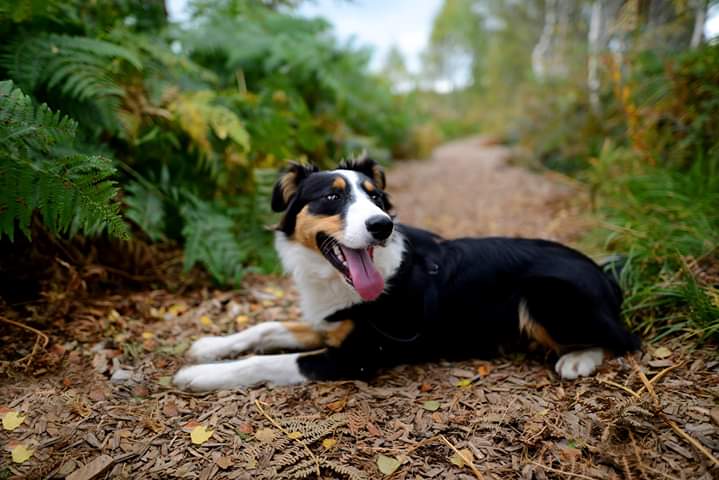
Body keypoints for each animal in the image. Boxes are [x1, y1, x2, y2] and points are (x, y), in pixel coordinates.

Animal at [173, 157, 640, 391]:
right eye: (331, 197)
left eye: (376, 198)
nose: (381, 225)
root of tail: (603, 274)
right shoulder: (328, 322)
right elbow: (266, 327)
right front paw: (209, 346)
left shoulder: (355, 356)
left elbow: (263, 362)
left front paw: (201, 375)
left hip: (546, 293)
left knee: (626, 340)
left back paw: (578, 358)